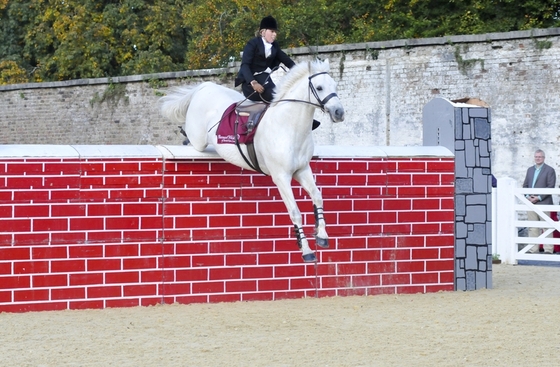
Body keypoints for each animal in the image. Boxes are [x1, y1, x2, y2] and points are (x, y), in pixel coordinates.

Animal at [159, 59, 346, 264]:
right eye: (319, 87)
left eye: (335, 85)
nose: (339, 112)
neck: (289, 126)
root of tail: (204, 86)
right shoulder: (281, 177)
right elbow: (295, 212)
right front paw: (306, 250)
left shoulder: (303, 169)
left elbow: (317, 196)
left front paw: (322, 235)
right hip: (198, 139)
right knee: (188, 137)